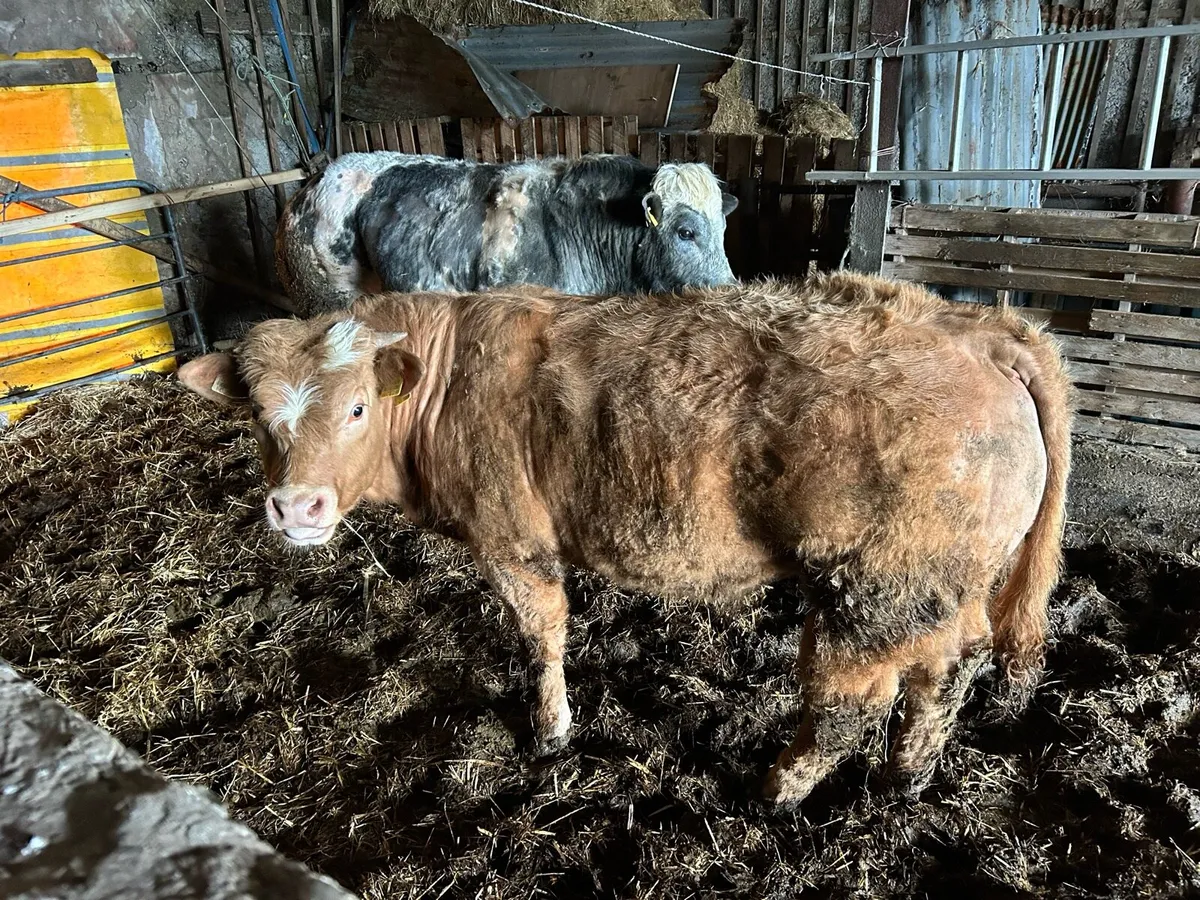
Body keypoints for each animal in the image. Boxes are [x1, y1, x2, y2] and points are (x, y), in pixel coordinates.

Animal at [176, 272, 1073, 804]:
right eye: (259, 417)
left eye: (357, 406)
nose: (297, 507)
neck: (447, 375)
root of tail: (977, 327)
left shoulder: (513, 543)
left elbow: (541, 638)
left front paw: (550, 732)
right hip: (938, 585)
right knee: (950, 665)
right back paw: (907, 776)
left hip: (877, 587)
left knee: (852, 700)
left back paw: (781, 786)